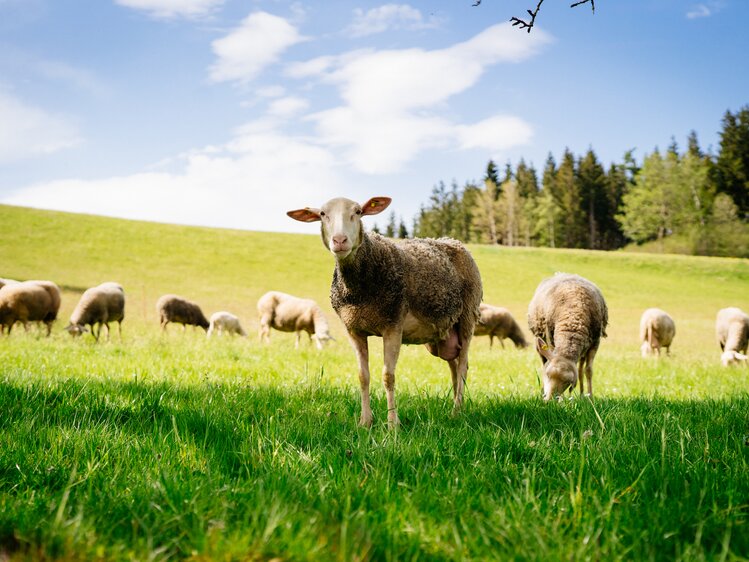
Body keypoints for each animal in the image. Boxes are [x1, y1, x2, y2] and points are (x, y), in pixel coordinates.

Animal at [290, 195, 482, 426]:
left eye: (358, 212)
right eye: (322, 214)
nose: (340, 240)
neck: (359, 292)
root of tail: (453, 241)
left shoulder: (393, 326)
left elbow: (388, 376)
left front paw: (392, 424)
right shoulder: (353, 330)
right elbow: (362, 376)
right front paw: (365, 422)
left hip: (468, 315)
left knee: (462, 365)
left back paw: (456, 411)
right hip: (441, 333)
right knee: (453, 364)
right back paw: (455, 407)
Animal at [524, 270, 608, 398]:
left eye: (568, 382)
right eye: (547, 374)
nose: (549, 399)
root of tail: (561, 273)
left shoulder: (595, 342)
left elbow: (588, 370)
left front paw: (590, 397)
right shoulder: (550, 336)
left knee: (580, 369)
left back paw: (582, 395)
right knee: (544, 361)